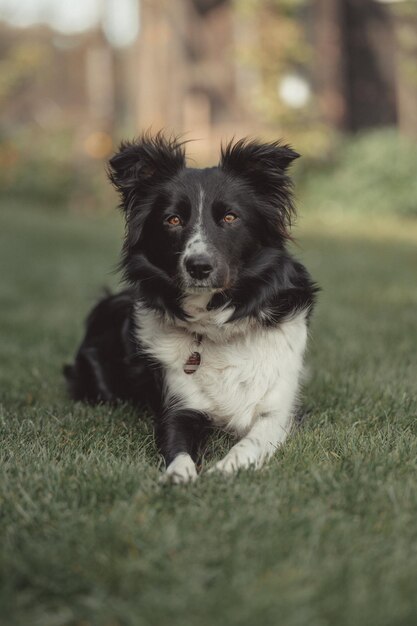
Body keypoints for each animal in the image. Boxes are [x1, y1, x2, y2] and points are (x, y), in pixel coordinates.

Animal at [64, 132, 318, 482]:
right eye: (172, 220)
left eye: (230, 217)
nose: (198, 266)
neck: (214, 323)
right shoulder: (178, 407)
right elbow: (178, 446)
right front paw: (179, 476)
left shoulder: (280, 411)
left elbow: (252, 440)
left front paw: (226, 468)